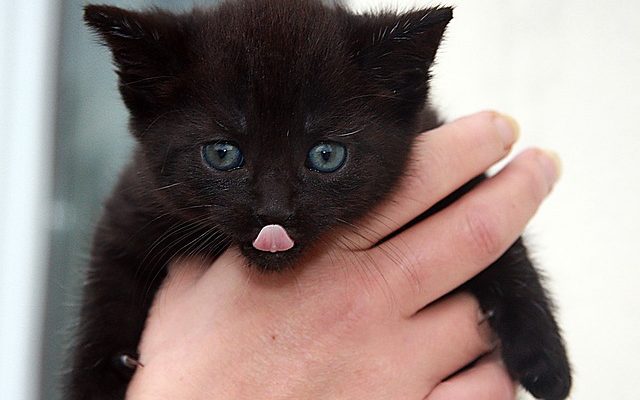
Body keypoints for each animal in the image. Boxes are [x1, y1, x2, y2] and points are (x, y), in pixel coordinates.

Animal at [70, 1, 568, 398]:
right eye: (222, 154)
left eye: (326, 155)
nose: (273, 212)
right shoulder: (135, 205)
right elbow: (106, 287)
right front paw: (96, 378)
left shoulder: (433, 142)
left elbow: (496, 232)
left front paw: (545, 358)